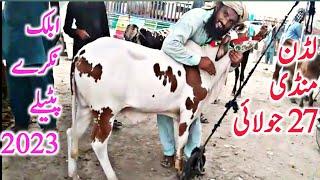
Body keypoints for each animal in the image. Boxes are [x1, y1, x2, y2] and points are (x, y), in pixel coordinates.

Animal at [68, 37, 232, 179]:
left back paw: (73, 173)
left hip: (85, 108)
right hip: (105, 111)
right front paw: (180, 170)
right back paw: (112, 176)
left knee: (72, 133)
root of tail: (82, 52)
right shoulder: (189, 109)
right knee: (98, 144)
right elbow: (182, 141)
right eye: (238, 31)